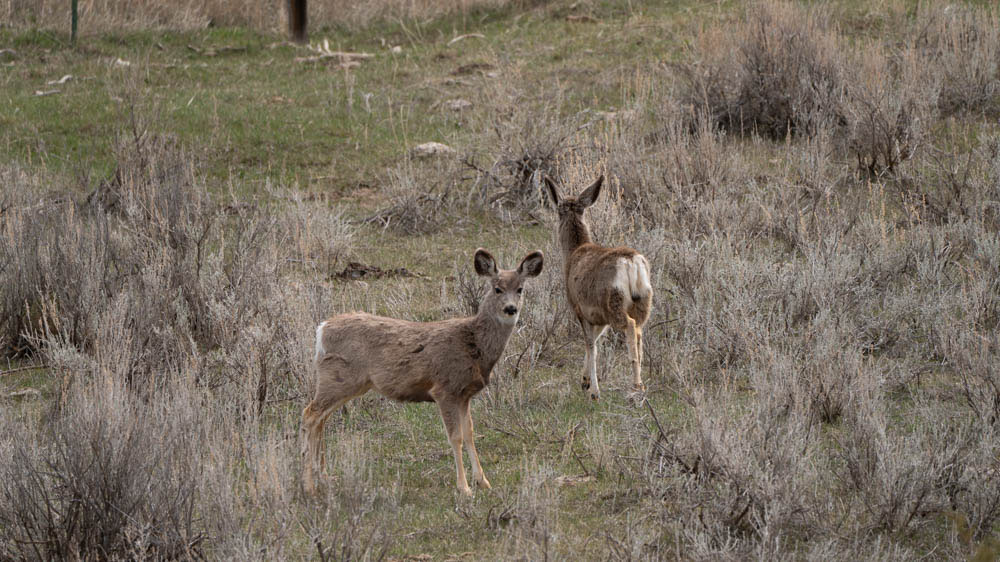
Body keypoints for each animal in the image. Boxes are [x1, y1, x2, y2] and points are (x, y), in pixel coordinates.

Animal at [302, 248, 544, 496]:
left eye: (520, 289)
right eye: (497, 288)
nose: (510, 309)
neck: (473, 344)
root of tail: (321, 329)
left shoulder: (464, 394)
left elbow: (470, 434)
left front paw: (483, 481)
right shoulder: (444, 389)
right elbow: (455, 437)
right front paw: (464, 488)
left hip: (345, 382)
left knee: (320, 419)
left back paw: (324, 478)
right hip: (339, 378)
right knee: (310, 414)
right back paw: (309, 485)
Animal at [539, 173, 653, 401]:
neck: (574, 253)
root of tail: (632, 262)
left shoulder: (579, 308)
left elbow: (590, 344)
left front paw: (594, 390)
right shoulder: (598, 317)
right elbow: (596, 341)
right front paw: (585, 381)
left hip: (614, 302)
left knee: (629, 326)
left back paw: (636, 386)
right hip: (643, 301)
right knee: (639, 330)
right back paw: (641, 384)